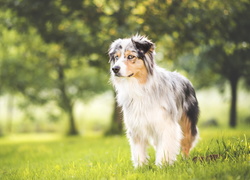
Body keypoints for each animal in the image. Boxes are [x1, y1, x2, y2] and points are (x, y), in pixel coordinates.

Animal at [108, 34, 198, 167]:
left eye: (130, 56)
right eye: (116, 57)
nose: (114, 69)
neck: (139, 87)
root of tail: (184, 77)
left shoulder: (165, 123)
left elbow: (165, 145)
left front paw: (163, 165)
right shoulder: (136, 124)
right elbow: (138, 149)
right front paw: (140, 167)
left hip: (187, 122)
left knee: (186, 142)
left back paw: (185, 160)